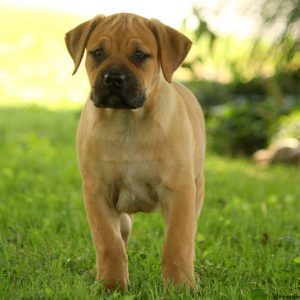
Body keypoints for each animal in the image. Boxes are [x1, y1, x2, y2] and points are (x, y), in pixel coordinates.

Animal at [65, 12, 206, 290]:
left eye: (140, 55)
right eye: (97, 52)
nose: (113, 78)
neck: (127, 122)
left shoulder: (179, 190)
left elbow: (177, 243)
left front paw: (180, 286)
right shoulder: (97, 191)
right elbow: (108, 243)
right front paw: (112, 285)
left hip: (197, 190)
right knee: (122, 231)